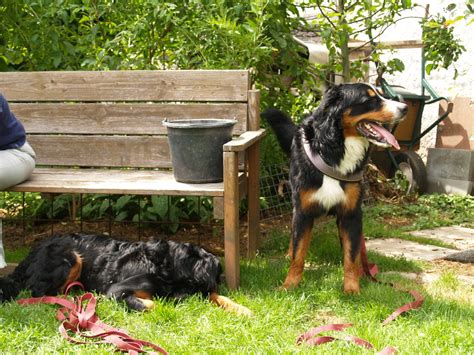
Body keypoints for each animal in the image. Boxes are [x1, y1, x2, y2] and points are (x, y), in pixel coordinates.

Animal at [0, 235, 252, 316]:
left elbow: (220, 297)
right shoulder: (116, 290)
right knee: (40, 291)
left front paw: (242, 309)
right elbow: (152, 304)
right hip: (69, 258)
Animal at [262, 84, 408, 294]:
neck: (334, 151)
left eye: (381, 95)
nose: (405, 108)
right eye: (370, 100)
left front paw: (352, 288)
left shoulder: (351, 213)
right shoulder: (303, 211)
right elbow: (298, 254)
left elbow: (351, 255)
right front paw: (290, 285)